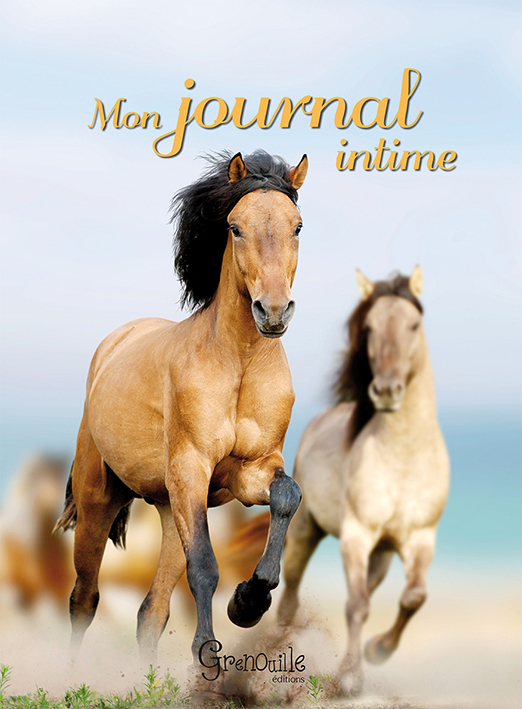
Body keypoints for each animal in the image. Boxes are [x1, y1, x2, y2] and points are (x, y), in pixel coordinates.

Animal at [54, 150, 308, 684]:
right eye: (234, 227)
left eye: (297, 226)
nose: (273, 311)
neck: (239, 363)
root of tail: (114, 342)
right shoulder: (192, 468)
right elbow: (206, 567)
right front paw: (208, 650)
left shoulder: (251, 472)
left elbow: (287, 497)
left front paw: (249, 601)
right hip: (98, 503)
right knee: (84, 598)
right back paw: (68, 677)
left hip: (171, 510)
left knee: (151, 610)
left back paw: (145, 683)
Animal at [278, 266, 450, 695]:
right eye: (369, 327)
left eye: (414, 324)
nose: (386, 390)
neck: (404, 456)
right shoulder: (356, 535)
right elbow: (355, 605)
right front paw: (349, 679)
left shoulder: (420, 538)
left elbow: (413, 597)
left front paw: (377, 651)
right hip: (306, 532)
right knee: (289, 596)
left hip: (382, 556)